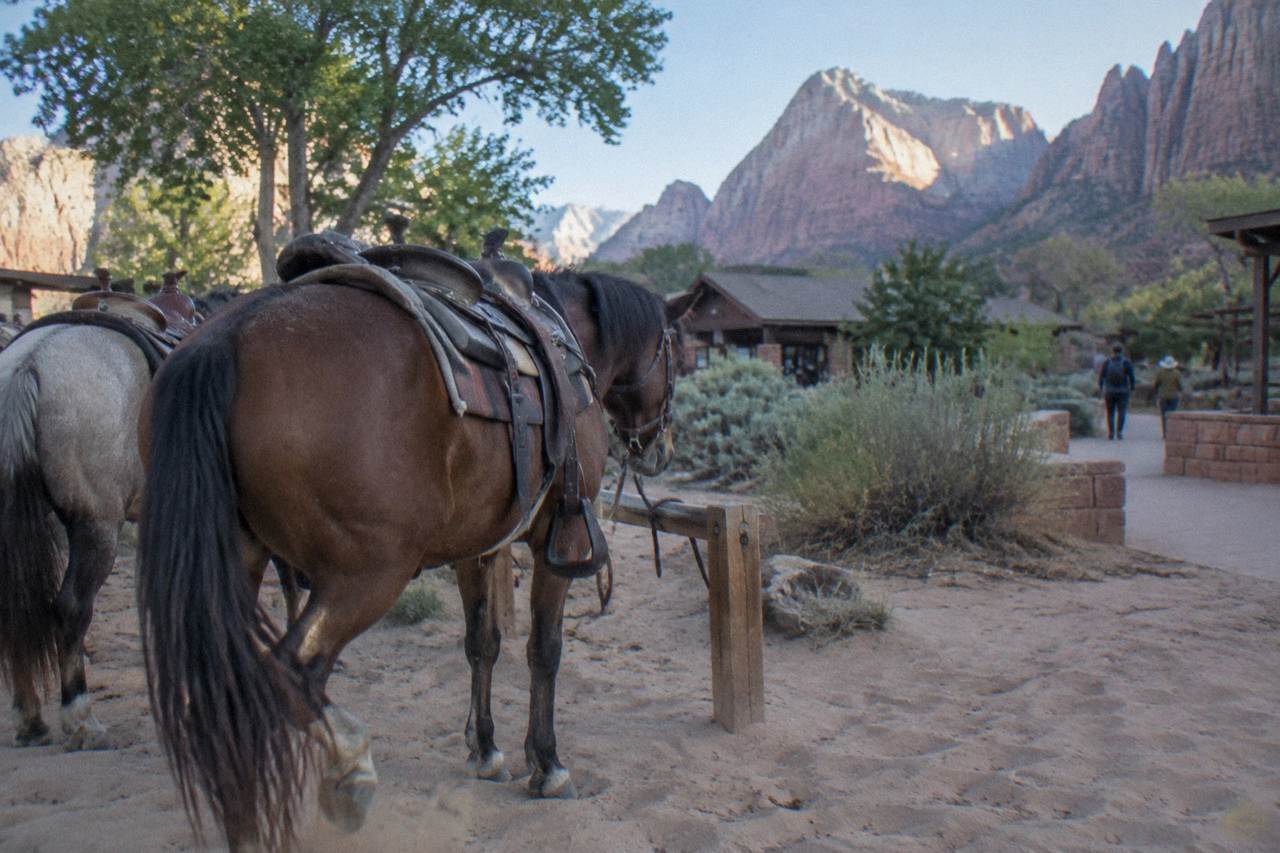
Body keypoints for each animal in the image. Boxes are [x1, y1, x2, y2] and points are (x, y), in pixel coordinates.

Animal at [135, 266, 694, 850]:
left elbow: (482, 643)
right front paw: (547, 765)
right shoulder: (553, 545)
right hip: (368, 575)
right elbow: (544, 651)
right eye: (679, 348)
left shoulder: (479, 548)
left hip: (240, 563)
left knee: (229, 686)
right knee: (289, 676)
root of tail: (226, 338)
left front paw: (485, 749)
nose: (661, 448)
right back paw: (351, 768)